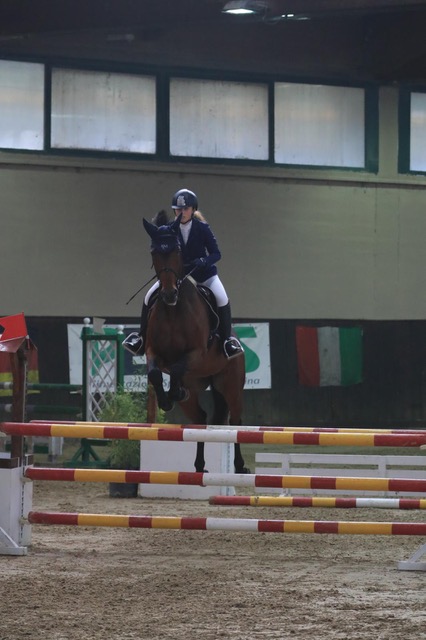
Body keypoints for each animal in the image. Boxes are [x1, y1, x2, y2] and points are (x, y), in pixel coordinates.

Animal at [141, 211, 248, 476]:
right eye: (154, 252)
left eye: (177, 250)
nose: (169, 294)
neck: (173, 311)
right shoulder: (152, 351)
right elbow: (156, 373)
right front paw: (168, 398)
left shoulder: (196, 352)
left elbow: (178, 366)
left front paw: (173, 392)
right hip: (197, 388)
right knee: (200, 419)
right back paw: (199, 466)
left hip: (230, 384)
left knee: (236, 422)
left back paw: (240, 465)